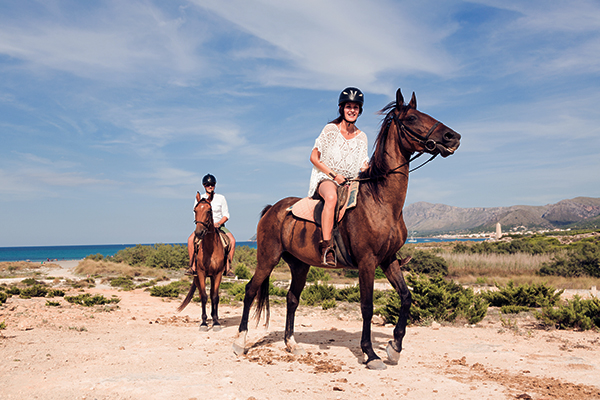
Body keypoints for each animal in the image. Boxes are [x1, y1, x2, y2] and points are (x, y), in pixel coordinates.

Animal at [178, 192, 227, 330]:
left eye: (209, 210)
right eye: (195, 210)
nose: (199, 232)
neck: (210, 247)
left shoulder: (218, 274)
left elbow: (214, 297)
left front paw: (216, 322)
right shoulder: (200, 273)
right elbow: (204, 297)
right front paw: (204, 323)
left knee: (214, 294)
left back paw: (215, 316)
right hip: (197, 277)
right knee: (202, 294)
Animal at [232, 89, 462, 370]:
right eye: (412, 118)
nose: (453, 137)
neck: (381, 201)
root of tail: (272, 209)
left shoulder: (388, 260)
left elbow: (406, 297)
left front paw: (394, 347)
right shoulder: (367, 261)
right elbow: (367, 306)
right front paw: (371, 354)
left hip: (300, 265)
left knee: (292, 299)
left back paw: (291, 344)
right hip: (267, 258)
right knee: (250, 291)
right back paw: (240, 342)